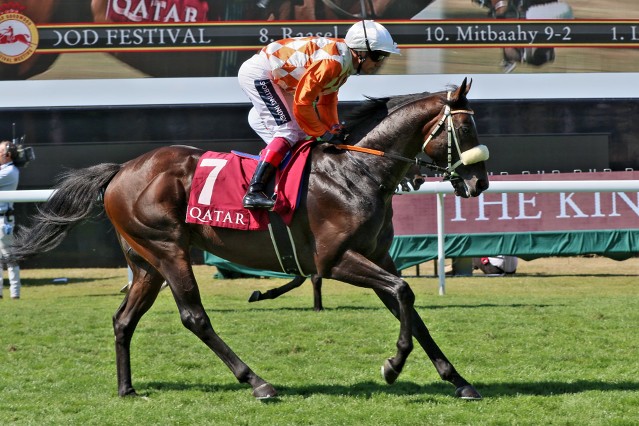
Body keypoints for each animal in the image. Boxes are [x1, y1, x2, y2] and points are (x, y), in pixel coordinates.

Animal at [11, 79, 490, 400]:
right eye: (466, 131)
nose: (480, 183)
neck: (355, 173)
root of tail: (120, 171)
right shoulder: (334, 260)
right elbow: (404, 291)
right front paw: (393, 366)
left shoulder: (378, 256)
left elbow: (409, 307)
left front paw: (458, 380)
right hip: (168, 249)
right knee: (194, 317)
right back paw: (257, 381)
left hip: (146, 262)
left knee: (124, 320)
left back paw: (127, 389)